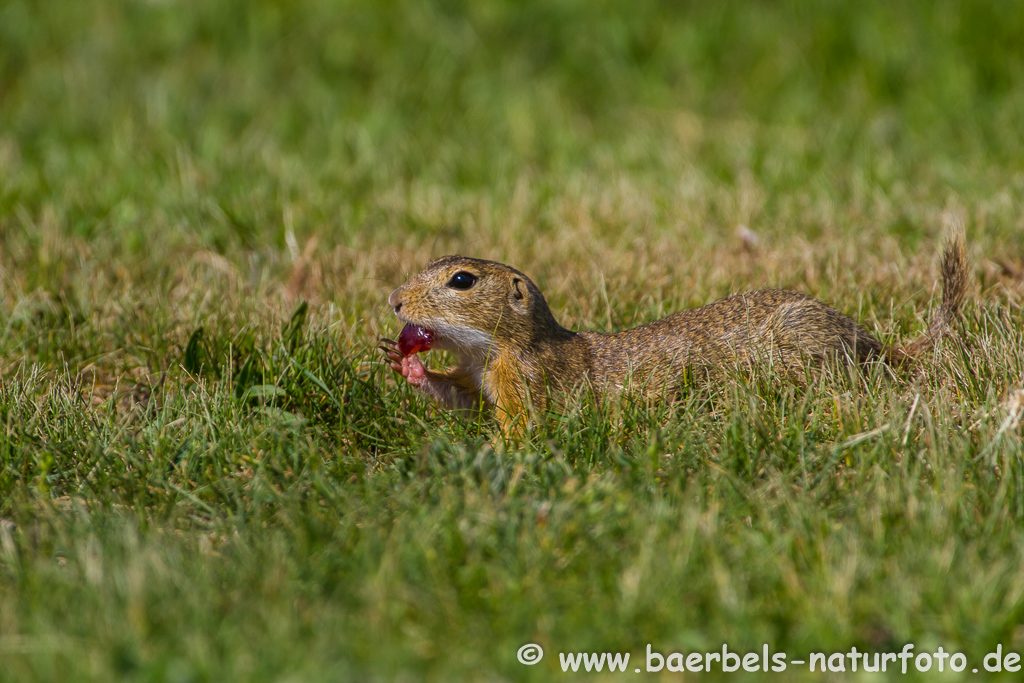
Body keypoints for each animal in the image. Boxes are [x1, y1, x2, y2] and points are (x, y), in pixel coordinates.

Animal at [382, 235, 966, 432]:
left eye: (462, 280)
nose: (394, 301)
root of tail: (871, 341)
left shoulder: (523, 378)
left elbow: (521, 428)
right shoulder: (480, 376)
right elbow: (461, 399)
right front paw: (406, 364)